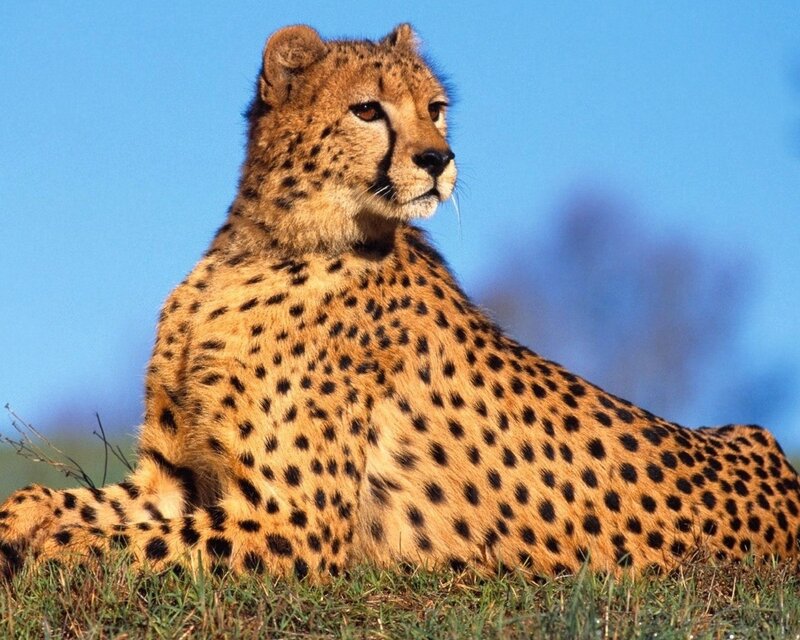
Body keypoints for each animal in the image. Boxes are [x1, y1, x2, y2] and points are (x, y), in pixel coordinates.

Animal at [2, 24, 799, 583]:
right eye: (367, 110)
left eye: (436, 111)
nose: (437, 160)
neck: (265, 243)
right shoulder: (175, 481)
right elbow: (57, 501)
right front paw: (21, 522)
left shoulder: (295, 527)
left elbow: (101, 538)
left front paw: (43, 550)